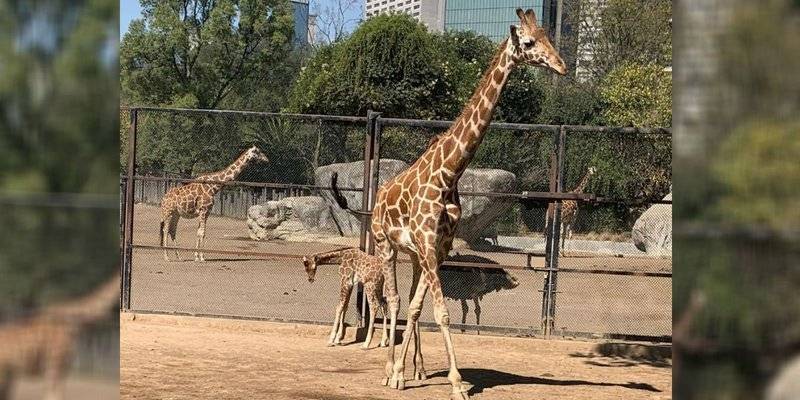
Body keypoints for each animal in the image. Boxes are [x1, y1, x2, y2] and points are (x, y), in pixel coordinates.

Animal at [330, 9, 566, 399]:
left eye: (549, 37)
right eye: (530, 42)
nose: (561, 65)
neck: (450, 173)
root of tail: (376, 200)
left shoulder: (437, 248)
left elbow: (421, 308)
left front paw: (410, 372)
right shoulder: (425, 245)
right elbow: (438, 312)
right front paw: (453, 383)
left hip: (413, 256)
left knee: (409, 303)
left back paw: (415, 369)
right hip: (386, 246)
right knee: (392, 300)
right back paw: (388, 368)